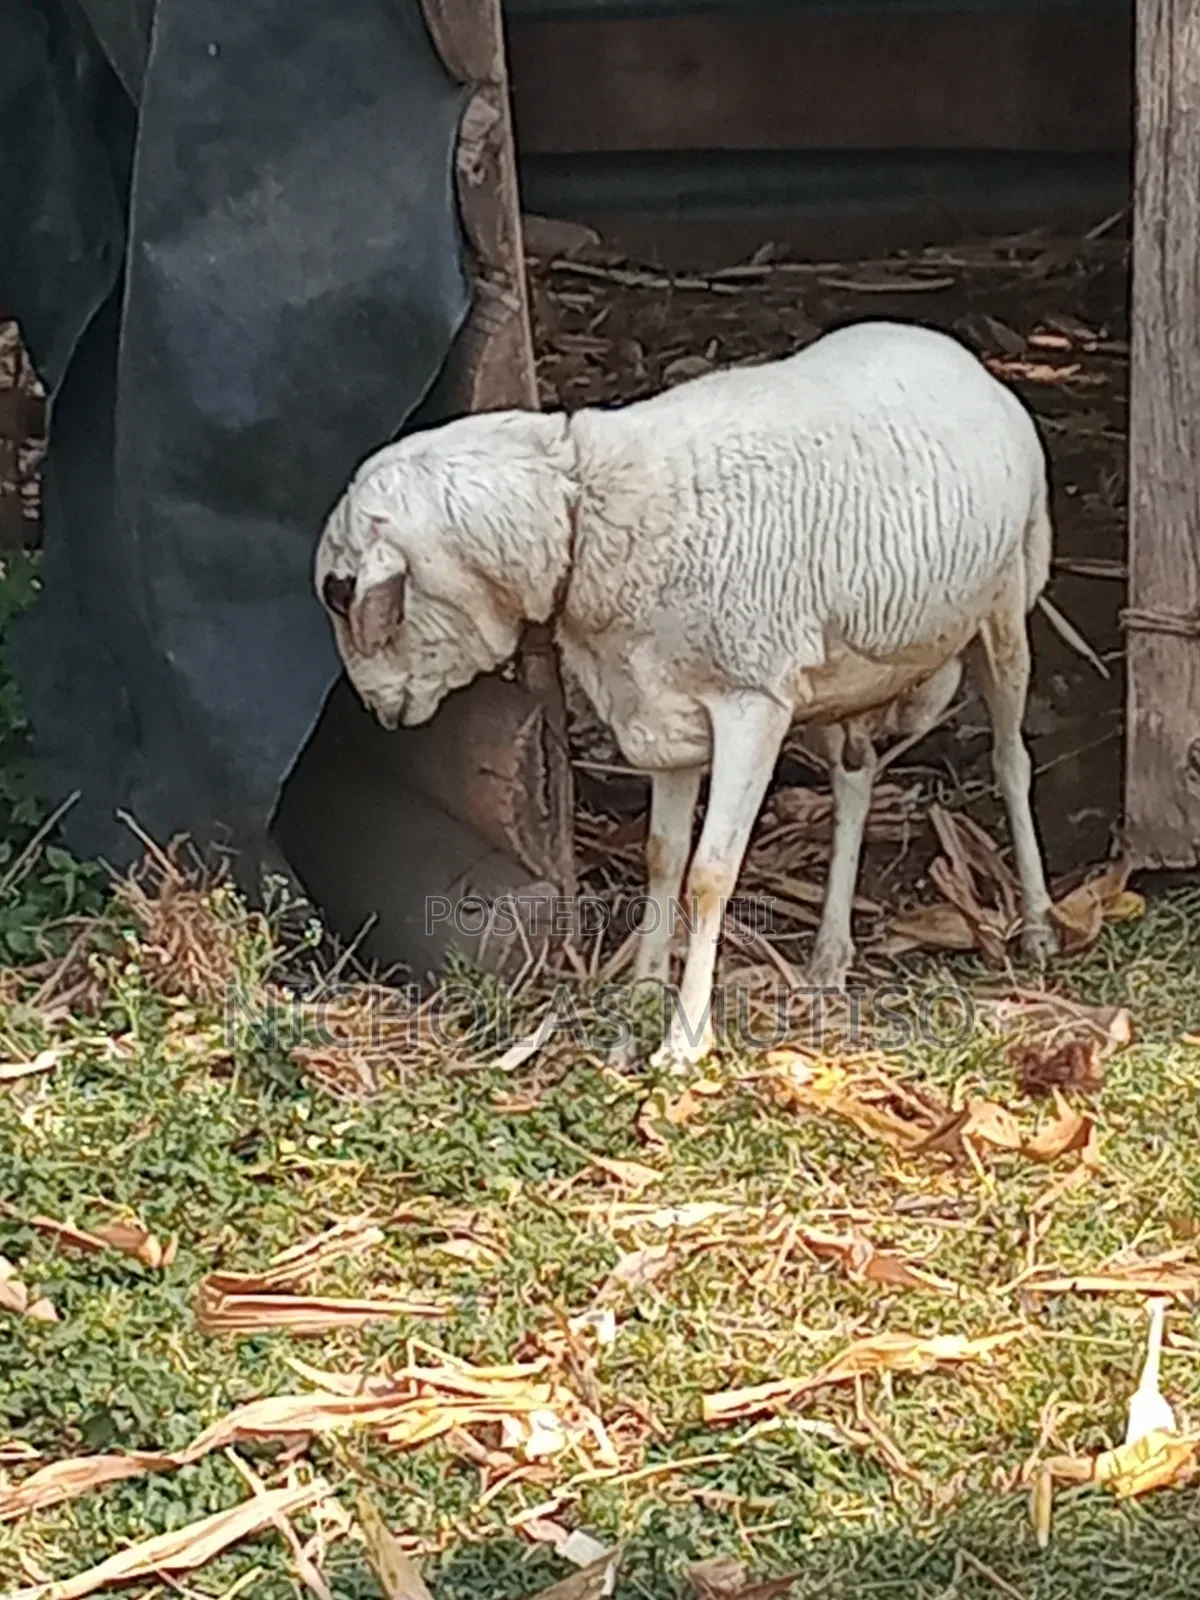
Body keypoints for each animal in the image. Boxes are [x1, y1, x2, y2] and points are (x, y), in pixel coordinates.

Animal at [315, 319, 1058, 1072]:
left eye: (342, 594)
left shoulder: (751, 703)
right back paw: (829, 955)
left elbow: (708, 875)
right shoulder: (664, 711)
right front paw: (640, 996)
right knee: (855, 779)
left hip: (1005, 601)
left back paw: (1038, 926)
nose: (376, 711)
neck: (589, 511)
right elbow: (661, 857)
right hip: (838, 673)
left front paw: (683, 1040)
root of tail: (951, 348)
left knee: (1011, 761)